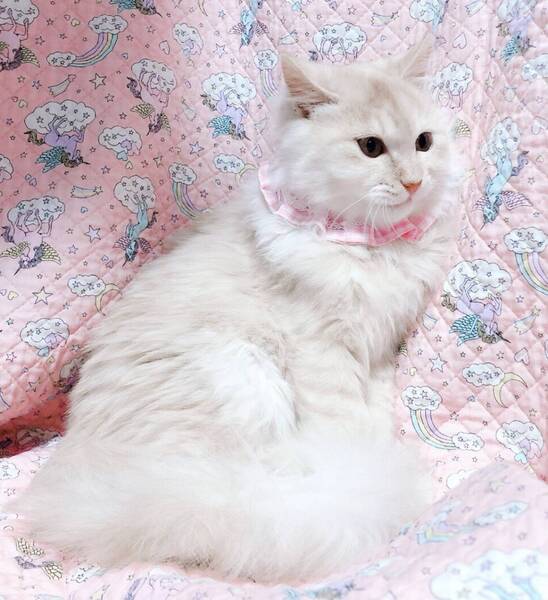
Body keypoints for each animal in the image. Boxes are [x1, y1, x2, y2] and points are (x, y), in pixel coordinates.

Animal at [13, 40, 462, 583]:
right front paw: (363, 477)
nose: (415, 182)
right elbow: (345, 425)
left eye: (424, 142)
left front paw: (377, 459)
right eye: (370, 147)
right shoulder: (324, 349)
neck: (368, 243)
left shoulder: (377, 350)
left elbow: (373, 419)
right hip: (241, 376)